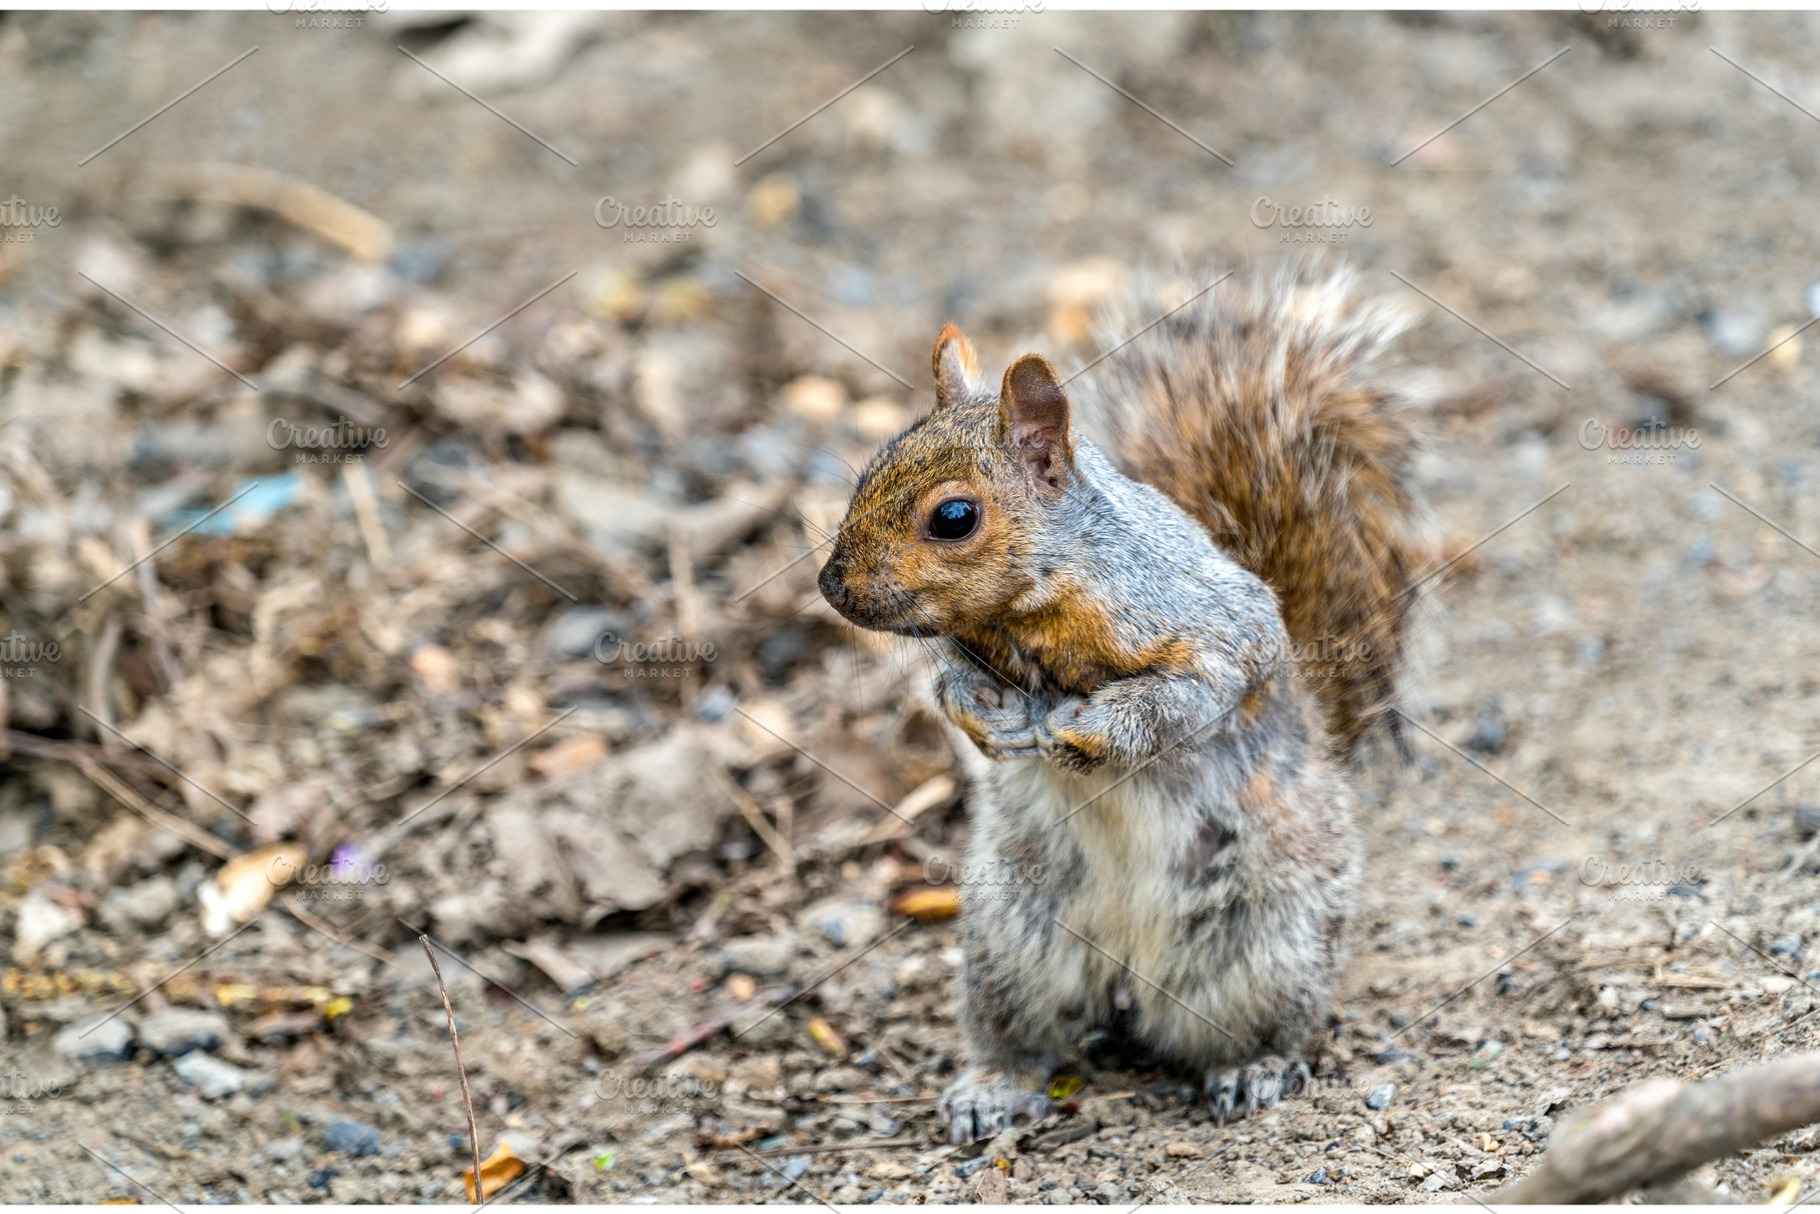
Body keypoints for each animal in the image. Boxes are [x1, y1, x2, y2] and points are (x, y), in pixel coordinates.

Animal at [817, 266, 1425, 1142]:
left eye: (954, 517)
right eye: (871, 468)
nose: (831, 585)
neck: (1029, 615)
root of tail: (1129, 967)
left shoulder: (1216, 630)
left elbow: (1183, 696)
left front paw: (1087, 727)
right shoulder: (970, 651)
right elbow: (952, 686)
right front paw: (995, 719)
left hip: (1270, 942)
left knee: (1272, 1023)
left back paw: (1256, 1067)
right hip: (1014, 944)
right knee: (1026, 1032)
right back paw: (992, 1086)